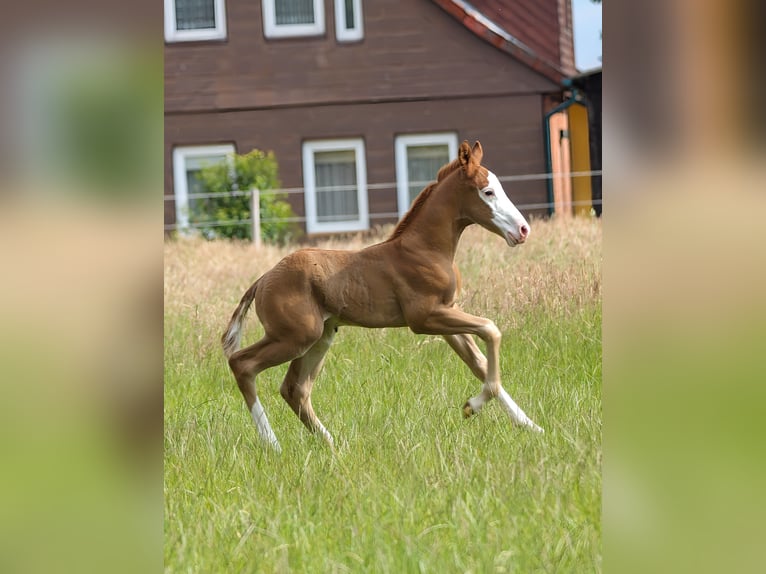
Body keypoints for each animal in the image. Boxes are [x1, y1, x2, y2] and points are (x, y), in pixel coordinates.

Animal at [222, 140, 543, 452]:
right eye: (487, 191)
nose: (523, 230)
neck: (425, 250)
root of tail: (263, 279)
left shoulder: (447, 316)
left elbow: (479, 363)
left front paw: (532, 426)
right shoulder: (425, 318)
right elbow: (491, 329)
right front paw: (471, 407)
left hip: (320, 337)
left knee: (294, 389)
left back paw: (332, 444)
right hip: (294, 337)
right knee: (242, 364)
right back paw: (273, 444)